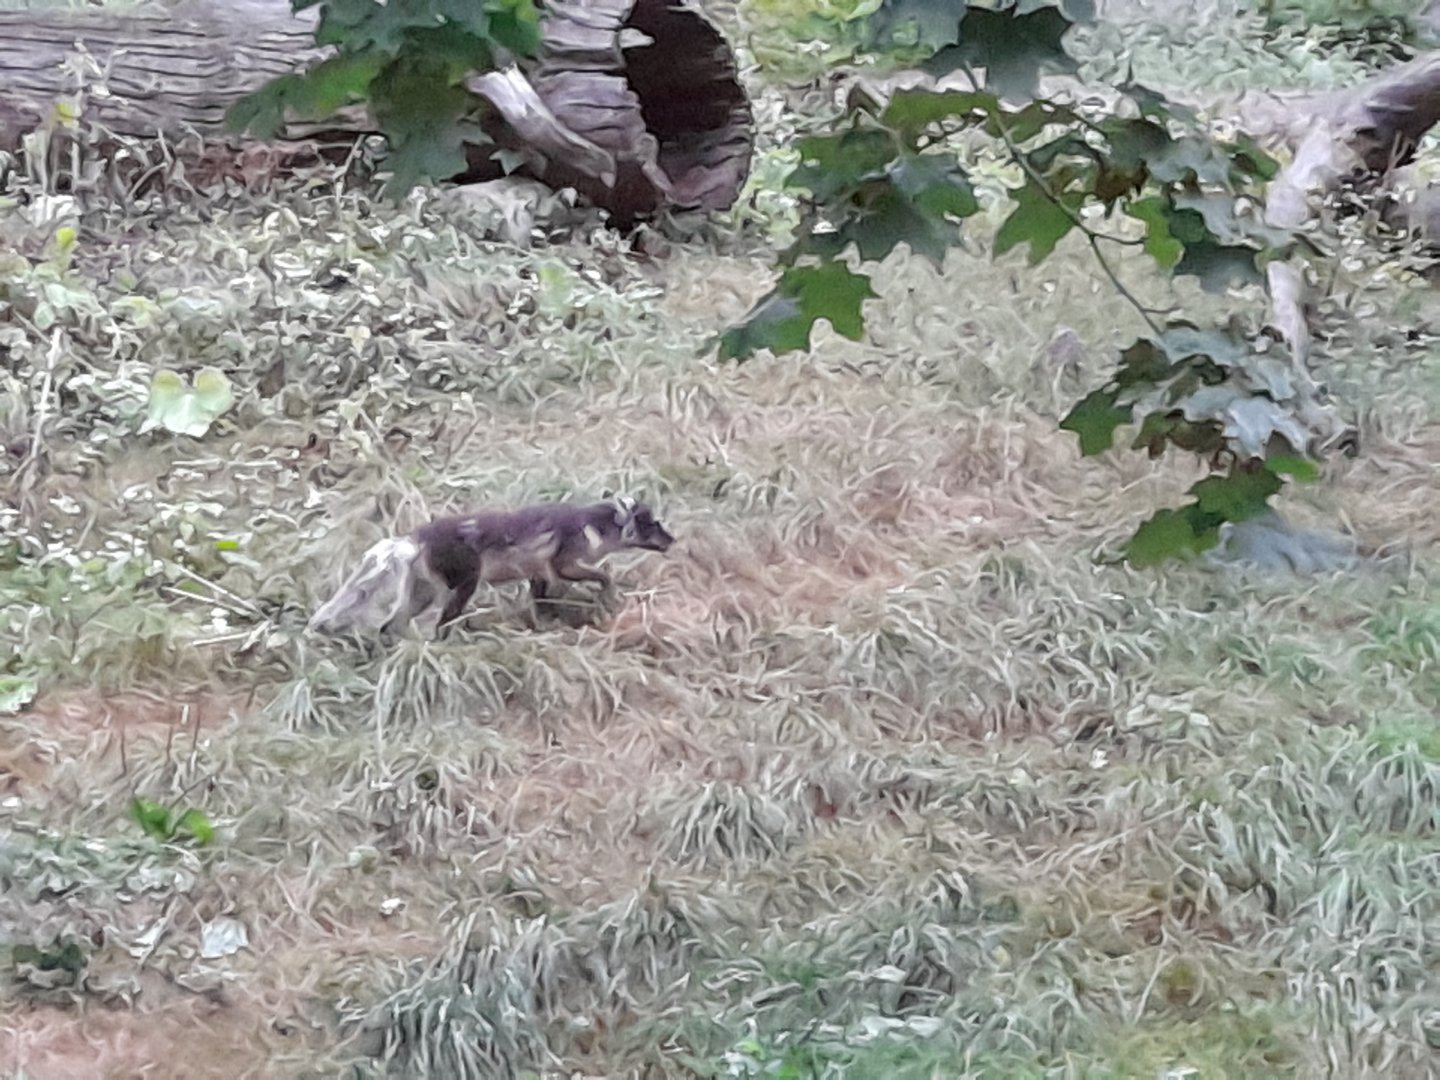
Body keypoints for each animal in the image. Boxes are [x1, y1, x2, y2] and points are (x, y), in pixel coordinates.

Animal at [306, 496, 676, 637]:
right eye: (652, 524)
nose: (672, 539)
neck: (592, 525)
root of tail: (414, 538)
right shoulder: (563, 561)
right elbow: (601, 573)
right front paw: (609, 593)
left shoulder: (537, 574)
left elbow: (540, 603)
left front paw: (543, 627)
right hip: (465, 581)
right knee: (441, 621)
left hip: (423, 591)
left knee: (393, 623)